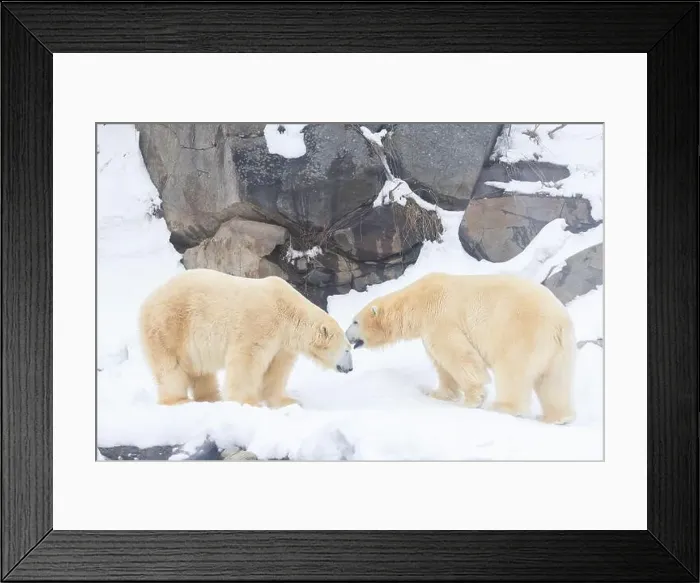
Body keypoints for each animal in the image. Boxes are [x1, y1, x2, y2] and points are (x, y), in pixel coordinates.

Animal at [139, 268, 353, 408]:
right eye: (347, 349)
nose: (350, 368)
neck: (287, 309)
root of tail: (148, 299)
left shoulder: (283, 344)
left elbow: (277, 369)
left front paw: (287, 401)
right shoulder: (260, 323)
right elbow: (247, 361)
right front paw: (249, 402)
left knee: (201, 370)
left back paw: (211, 398)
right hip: (168, 326)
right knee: (170, 367)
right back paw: (178, 400)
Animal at [345, 272, 576, 424]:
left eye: (355, 321)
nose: (347, 336)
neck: (417, 301)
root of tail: (558, 322)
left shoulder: (439, 317)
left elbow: (457, 355)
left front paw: (473, 399)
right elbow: (441, 365)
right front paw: (438, 394)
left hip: (519, 332)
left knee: (513, 371)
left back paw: (503, 408)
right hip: (559, 349)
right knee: (554, 381)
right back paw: (557, 417)